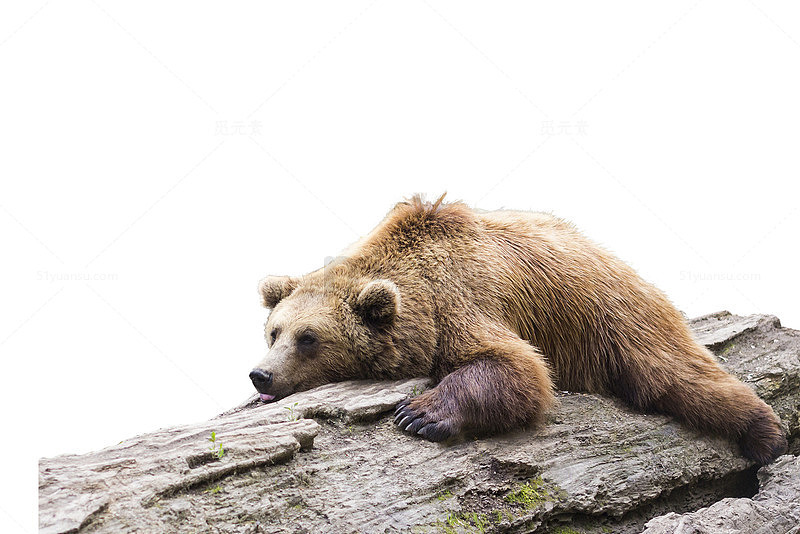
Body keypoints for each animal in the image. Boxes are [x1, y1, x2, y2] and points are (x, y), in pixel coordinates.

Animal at [249, 193, 787, 465]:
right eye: (274, 331)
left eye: (309, 338)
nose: (261, 375)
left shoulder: (463, 301)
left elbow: (516, 367)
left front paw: (418, 414)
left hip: (614, 316)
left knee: (678, 375)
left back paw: (766, 434)